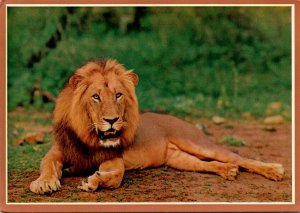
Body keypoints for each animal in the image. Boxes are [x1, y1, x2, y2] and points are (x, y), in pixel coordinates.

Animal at [29, 58, 284, 195]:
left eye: (118, 95)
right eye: (96, 97)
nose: (112, 120)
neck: (89, 136)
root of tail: (179, 119)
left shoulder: (115, 158)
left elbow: (116, 175)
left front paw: (93, 181)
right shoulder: (58, 150)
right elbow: (48, 164)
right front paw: (44, 183)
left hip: (196, 142)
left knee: (238, 157)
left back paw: (274, 170)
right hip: (179, 159)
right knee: (208, 163)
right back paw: (228, 170)